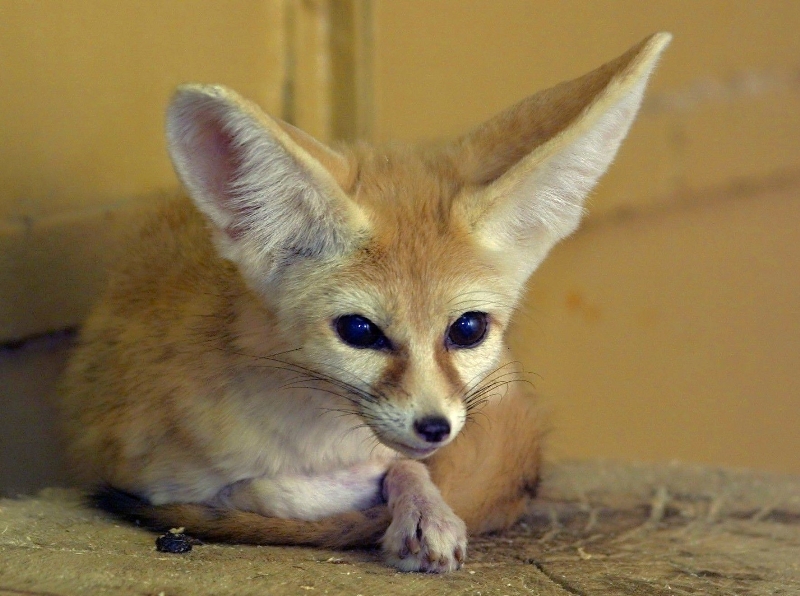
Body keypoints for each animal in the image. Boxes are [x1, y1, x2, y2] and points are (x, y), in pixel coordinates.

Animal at [61, 33, 668, 572]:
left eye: (468, 329)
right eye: (358, 332)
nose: (434, 427)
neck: (319, 442)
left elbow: (405, 469)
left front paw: (422, 510)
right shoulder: (130, 460)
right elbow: (285, 491)